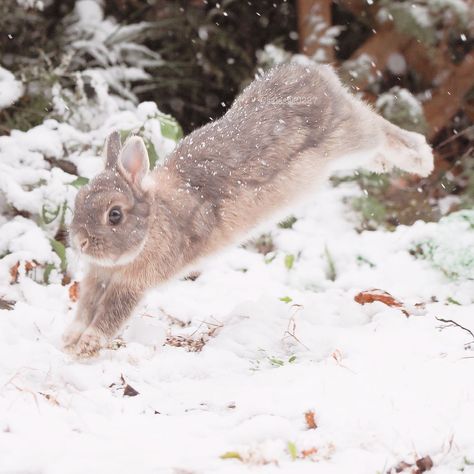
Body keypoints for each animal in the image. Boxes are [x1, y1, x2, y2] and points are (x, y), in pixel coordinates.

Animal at [64, 64, 434, 360]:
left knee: (380, 128)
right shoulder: (98, 278)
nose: (80, 242)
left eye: (114, 215)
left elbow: (109, 317)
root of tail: (315, 74)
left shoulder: (132, 286)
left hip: (348, 136)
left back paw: (421, 158)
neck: (155, 218)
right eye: (78, 200)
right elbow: (84, 309)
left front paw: (85, 348)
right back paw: (385, 164)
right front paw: (69, 341)